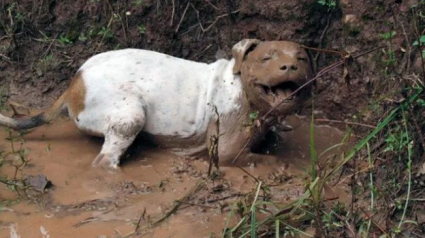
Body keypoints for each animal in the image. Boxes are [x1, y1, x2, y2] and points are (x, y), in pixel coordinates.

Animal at [0, 39, 312, 169]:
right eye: (266, 57)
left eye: (302, 58)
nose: (289, 66)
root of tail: (75, 84)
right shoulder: (227, 152)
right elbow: (261, 159)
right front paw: (281, 166)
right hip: (130, 115)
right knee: (104, 160)